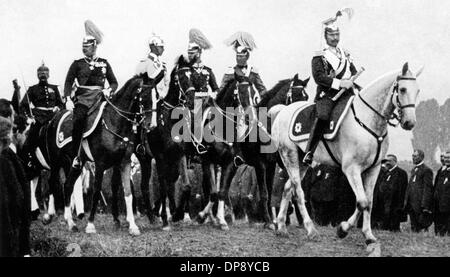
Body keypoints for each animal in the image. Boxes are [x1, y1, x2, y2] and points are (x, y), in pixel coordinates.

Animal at [48, 76, 155, 235]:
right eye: (145, 96)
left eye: (156, 97)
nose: (151, 125)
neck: (114, 122)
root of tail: (54, 119)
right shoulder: (100, 164)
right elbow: (96, 191)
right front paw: (90, 224)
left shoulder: (124, 162)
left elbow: (128, 193)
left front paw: (133, 226)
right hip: (56, 162)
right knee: (53, 183)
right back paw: (50, 216)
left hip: (75, 163)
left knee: (67, 185)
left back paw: (70, 223)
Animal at [270, 63, 422, 246]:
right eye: (403, 89)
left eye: (417, 90)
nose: (410, 123)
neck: (367, 120)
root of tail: (282, 111)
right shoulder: (351, 168)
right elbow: (362, 202)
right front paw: (343, 229)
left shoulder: (374, 169)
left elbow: (369, 202)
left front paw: (368, 235)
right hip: (289, 155)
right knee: (298, 192)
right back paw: (311, 229)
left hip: (302, 161)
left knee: (288, 188)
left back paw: (281, 227)